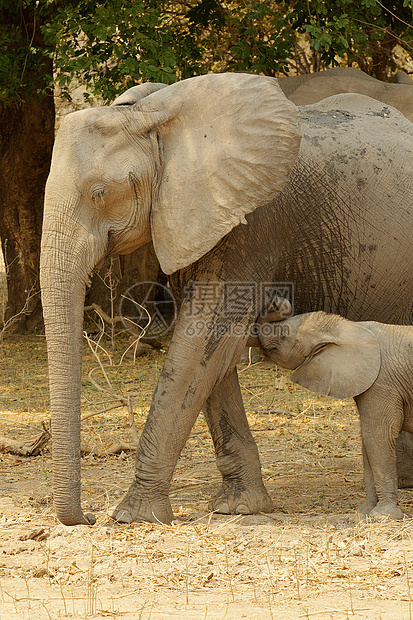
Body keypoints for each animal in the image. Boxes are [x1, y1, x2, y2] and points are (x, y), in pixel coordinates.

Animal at [248, 308, 412, 520]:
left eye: (283, 336)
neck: (349, 327)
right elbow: (367, 441)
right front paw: (364, 513)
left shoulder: (382, 383)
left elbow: (378, 436)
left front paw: (383, 516)